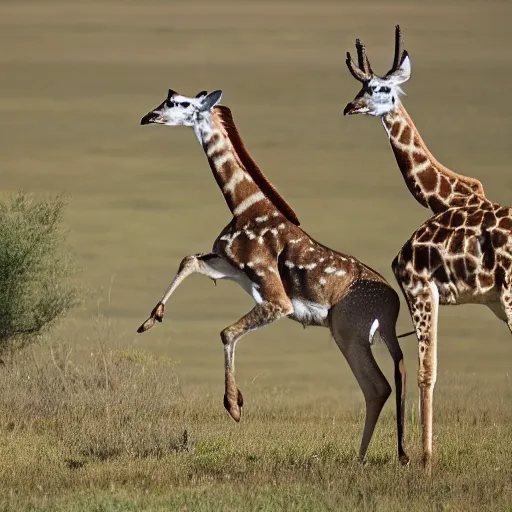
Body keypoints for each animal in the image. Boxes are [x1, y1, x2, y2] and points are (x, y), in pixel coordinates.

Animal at [136, 88, 408, 464]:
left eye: (180, 103)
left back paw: (364, 458)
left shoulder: (277, 299)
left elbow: (226, 332)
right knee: (385, 383)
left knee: (377, 386)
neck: (246, 207)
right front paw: (150, 320)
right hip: (361, 337)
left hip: (349, 335)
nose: (148, 116)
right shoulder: (233, 269)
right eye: (170, 96)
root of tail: (392, 304)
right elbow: (189, 260)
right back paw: (389, 455)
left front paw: (234, 406)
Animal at [342, 25, 510, 468]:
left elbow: (426, 372)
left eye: (382, 88)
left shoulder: (424, 287)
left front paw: (425, 458)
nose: (350, 107)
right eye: (360, 86)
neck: (450, 196)